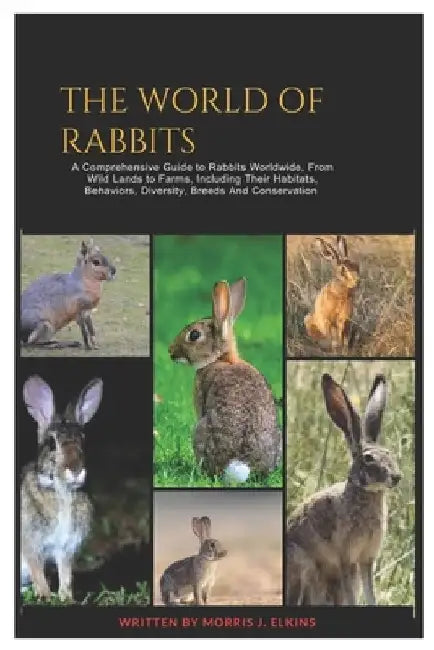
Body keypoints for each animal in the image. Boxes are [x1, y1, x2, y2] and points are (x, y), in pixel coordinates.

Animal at [21, 375, 103, 601]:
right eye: (51, 443)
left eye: (83, 441)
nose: (75, 470)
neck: (62, 491)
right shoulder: (31, 544)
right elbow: (37, 569)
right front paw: (45, 595)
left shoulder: (65, 547)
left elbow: (65, 574)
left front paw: (66, 598)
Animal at [286, 373, 401, 606]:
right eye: (368, 458)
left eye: (389, 453)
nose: (396, 477)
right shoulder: (346, 559)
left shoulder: (366, 560)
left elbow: (370, 592)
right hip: (302, 566)